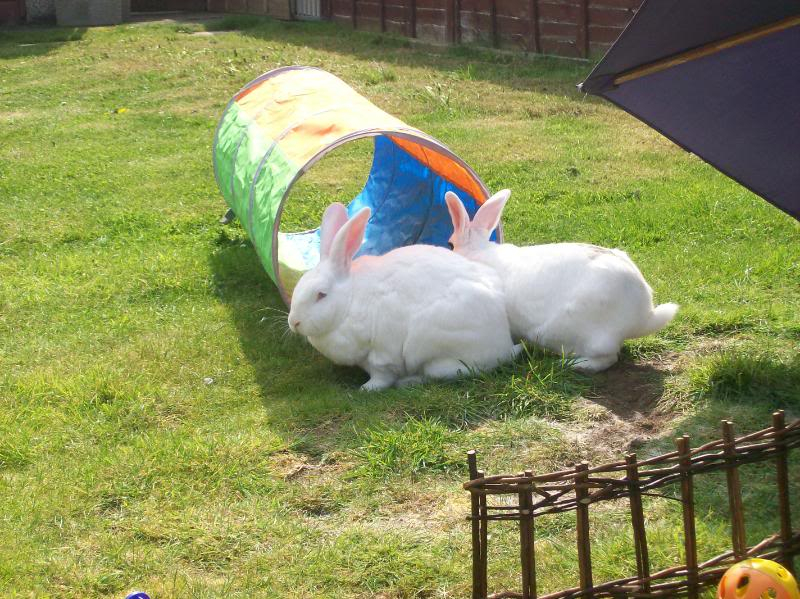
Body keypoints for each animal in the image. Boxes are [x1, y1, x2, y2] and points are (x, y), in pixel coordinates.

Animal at [288, 204, 520, 392]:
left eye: (321, 295)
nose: (294, 323)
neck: (349, 302)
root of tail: (504, 344)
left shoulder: (380, 354)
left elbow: (381, 376)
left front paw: (366, 389)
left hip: (433, 350)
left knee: (446, 373)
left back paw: (409, 381)